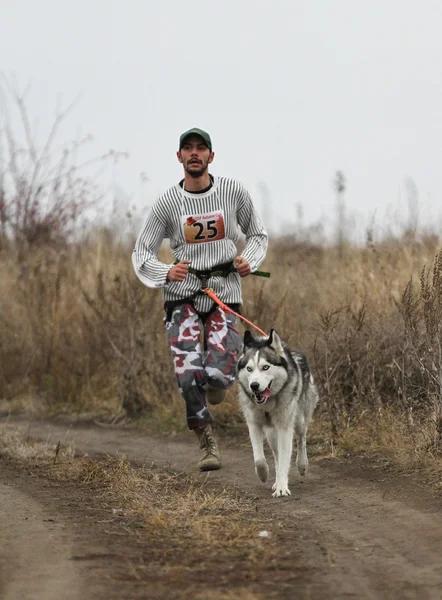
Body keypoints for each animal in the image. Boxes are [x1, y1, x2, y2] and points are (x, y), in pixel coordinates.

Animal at [238, 328, 318, 496]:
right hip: (271, 433)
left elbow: (285, 458)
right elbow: (259, 459)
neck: (267, 404)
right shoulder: (254, 424)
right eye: (249, 369)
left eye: (265, 367)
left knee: (301, 439)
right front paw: (264, 475)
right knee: (276, 454)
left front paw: (282, 488)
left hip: (298, 420)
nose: (254, 385)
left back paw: (302, 464)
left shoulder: (284, 427)